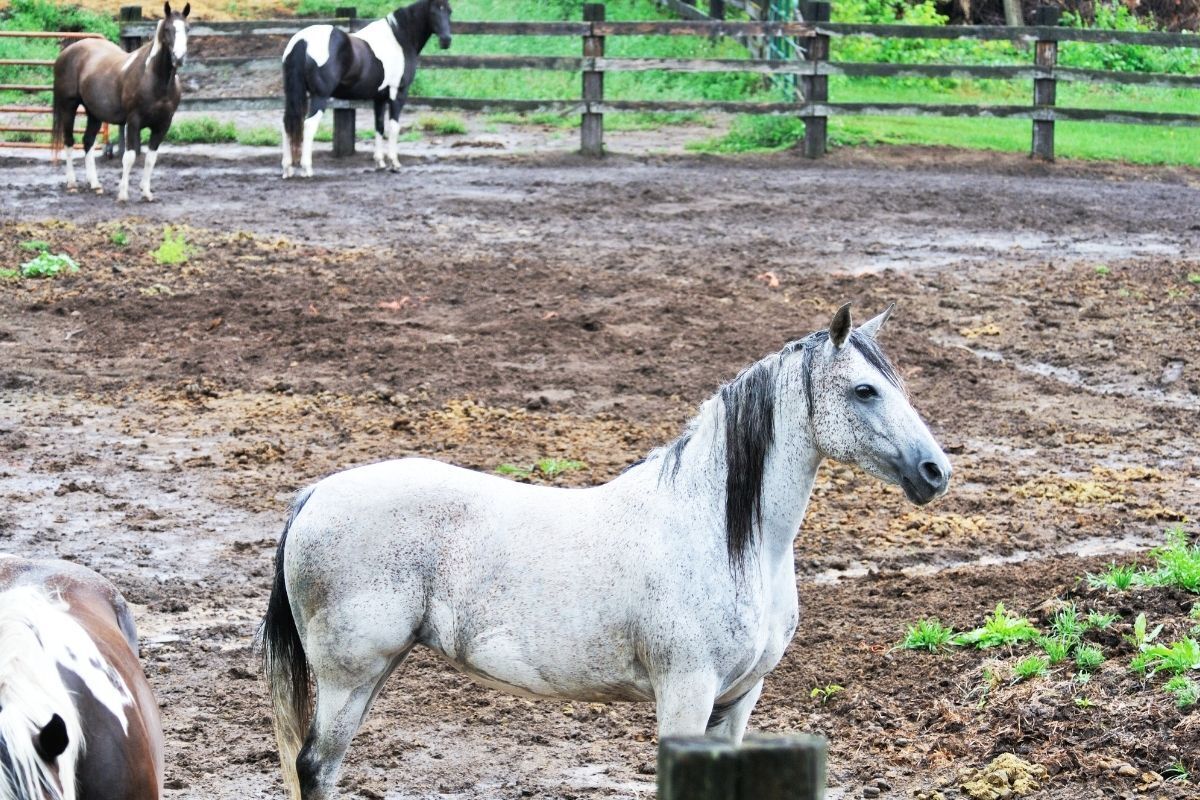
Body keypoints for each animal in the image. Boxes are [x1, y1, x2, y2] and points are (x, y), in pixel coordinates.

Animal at [52, 1, 189, 201]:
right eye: (168, 29)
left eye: (187, 28)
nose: (178, 58)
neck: (154, 80)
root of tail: (66, 52)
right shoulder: (133, 121)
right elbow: (129, 157)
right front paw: (123, 194)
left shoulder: (163, 124)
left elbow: (151, 158)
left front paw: (146, 192)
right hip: (68, 107)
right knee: (69, 141)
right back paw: (72, 184)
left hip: (94, 113)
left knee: (87, 141)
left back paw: (95, 185)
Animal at [260, 303, 945, 796]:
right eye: (864, 391)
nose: (935, 472)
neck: (724, 536)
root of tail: (315, 494)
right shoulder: (686, 694)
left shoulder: (737, 701)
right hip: (349, 677)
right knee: (314, 768)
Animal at [278, 0, 451, 176]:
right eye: (433, 12)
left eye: (449, 11)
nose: (446, 40)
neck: (399, 39)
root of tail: (303, 41)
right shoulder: (398, 93)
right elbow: (394, 127)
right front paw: (394, 163)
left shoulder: (379, 98)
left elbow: (379, 126)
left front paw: (380, 162)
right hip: (319, 96)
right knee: (309, 125)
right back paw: (307, 168)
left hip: (293, 94)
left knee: (287, 123)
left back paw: (287, 168)